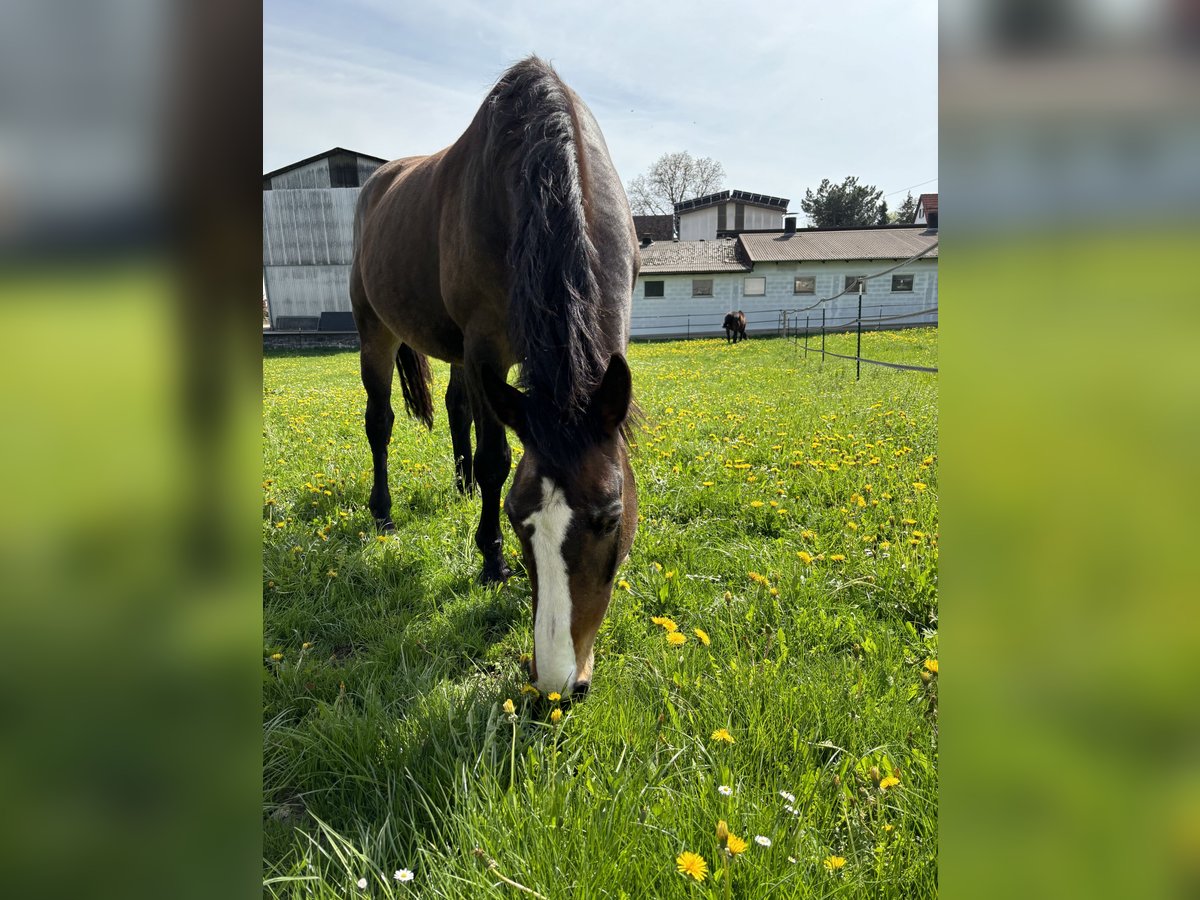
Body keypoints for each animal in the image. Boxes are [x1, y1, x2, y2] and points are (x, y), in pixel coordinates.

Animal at [350, 56, 643, 696]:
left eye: (611, 518)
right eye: (515, 518)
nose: (558, 683)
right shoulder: (486, 347)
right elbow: (495, 461)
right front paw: (491, 558)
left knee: (458, 405)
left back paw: (457, 484)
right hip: (375, 330)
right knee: (379, 421)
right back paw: (383, 511)